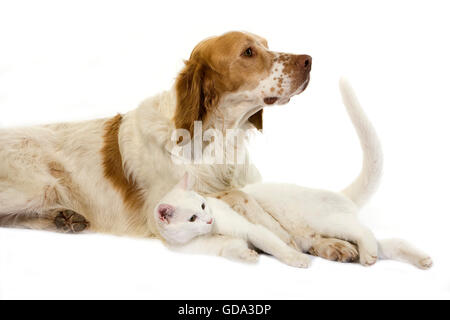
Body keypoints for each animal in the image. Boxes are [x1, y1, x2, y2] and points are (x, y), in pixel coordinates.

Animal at [154, 172, 310, 268]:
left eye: (203, 205)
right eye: (192, 218)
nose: (210, 220)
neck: (211, 232)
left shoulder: (250, 229)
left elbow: (275, 246)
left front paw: (297, 259)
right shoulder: (219, 247)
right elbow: (231, 250)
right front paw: (247, 255)